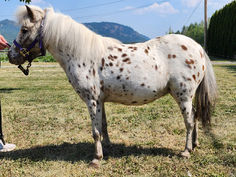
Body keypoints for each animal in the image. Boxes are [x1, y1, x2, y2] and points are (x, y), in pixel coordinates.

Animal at [7, 4, 218, 167]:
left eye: (24, 29)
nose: (10, 55)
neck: (81, 54)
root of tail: (198, 47)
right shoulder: (100, 100)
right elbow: (103, 126)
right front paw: (107, 148)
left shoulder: (91, 100)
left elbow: (95, 131)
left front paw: (96, 158)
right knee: (195, 116)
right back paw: (195, 144)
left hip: (183, 95)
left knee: (189, 120)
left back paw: (186, 151)